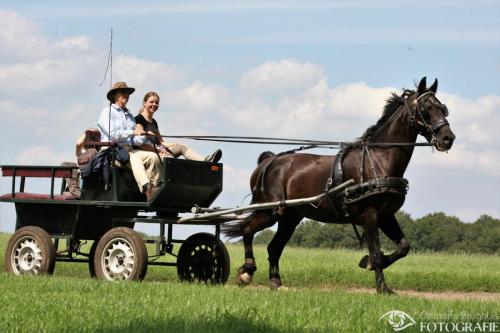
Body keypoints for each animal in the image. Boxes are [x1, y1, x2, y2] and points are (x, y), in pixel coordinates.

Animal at [225, 77, 456, 294]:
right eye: (426, 108)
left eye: (442, 107)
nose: (448, 138)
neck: (378, 160)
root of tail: (269, 160)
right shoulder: (370, 215)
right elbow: (376, 252)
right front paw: (382, 287)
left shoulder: (386, 215)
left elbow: (403, 247)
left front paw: (369, 264)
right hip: (269, 211)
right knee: (247, 230)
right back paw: (247, 272)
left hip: (289, 217)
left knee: (273, 248)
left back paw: (275, 282)